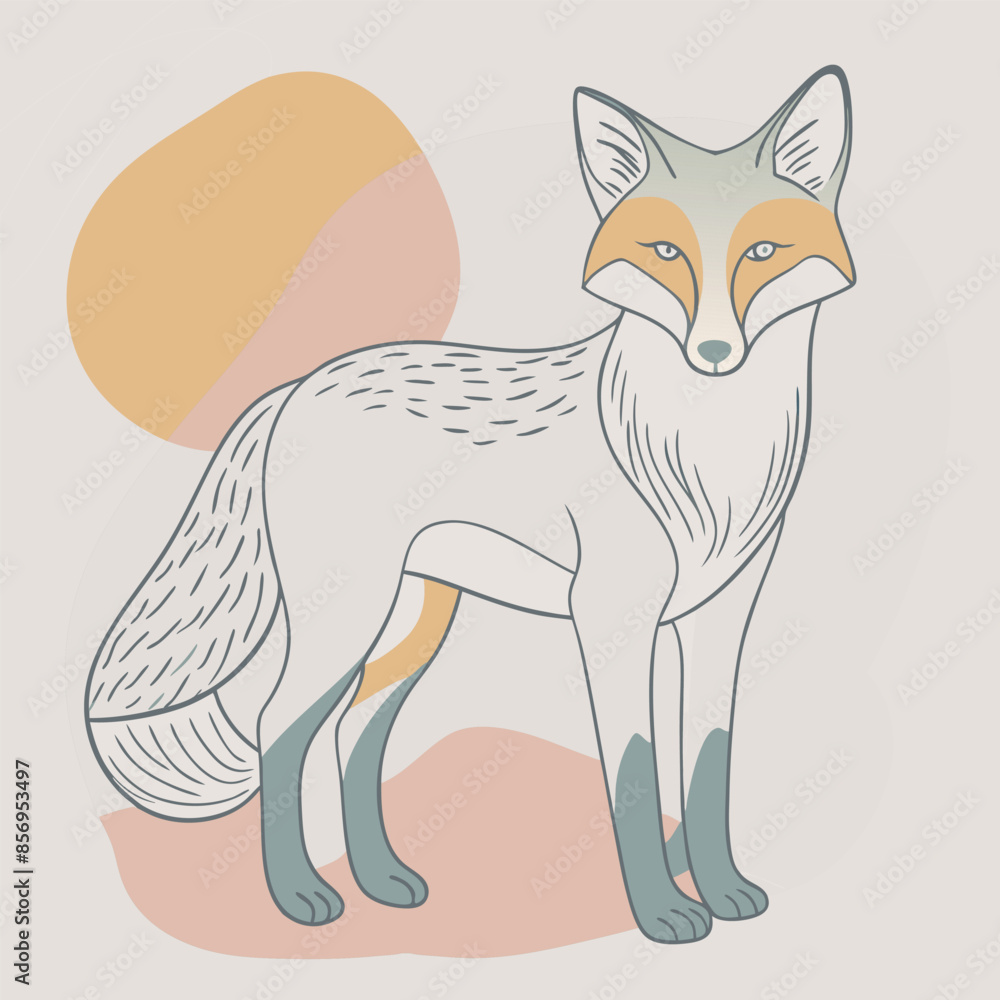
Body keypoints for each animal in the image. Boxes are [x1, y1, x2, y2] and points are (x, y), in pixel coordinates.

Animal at [84, 66, 855, 944]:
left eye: (762, 252)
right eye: (665, 252)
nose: (715, 352)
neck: (710, 457)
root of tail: (301, 382)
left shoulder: (721, 617)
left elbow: (710, 762)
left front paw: (723, 890)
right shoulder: (609, 619)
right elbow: (634, 772)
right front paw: (662, 912)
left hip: (416, 622)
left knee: (356, 729)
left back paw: (382, 880)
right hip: (346, 618)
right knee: (278, 726)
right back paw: (301, 897)